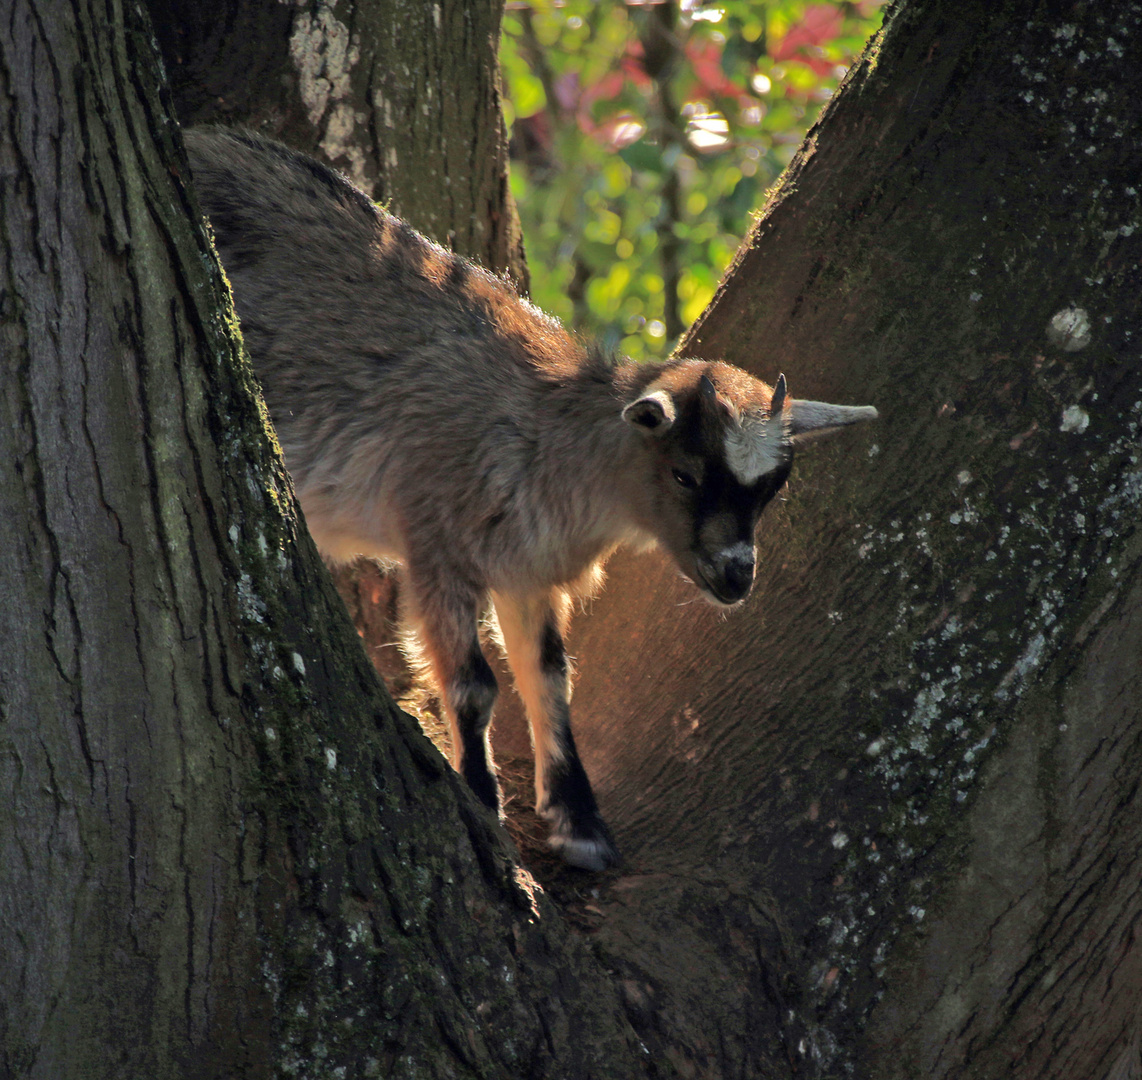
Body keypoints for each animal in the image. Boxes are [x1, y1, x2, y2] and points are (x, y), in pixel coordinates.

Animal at [189, 128, 881, 867]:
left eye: (775, 487)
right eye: (686, 475)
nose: (736, 575)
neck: (542, 436)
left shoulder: (525, 568)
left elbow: (549, 676)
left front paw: (580, 825)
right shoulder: (436, 544)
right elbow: (475, 686)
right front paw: (484, 806)